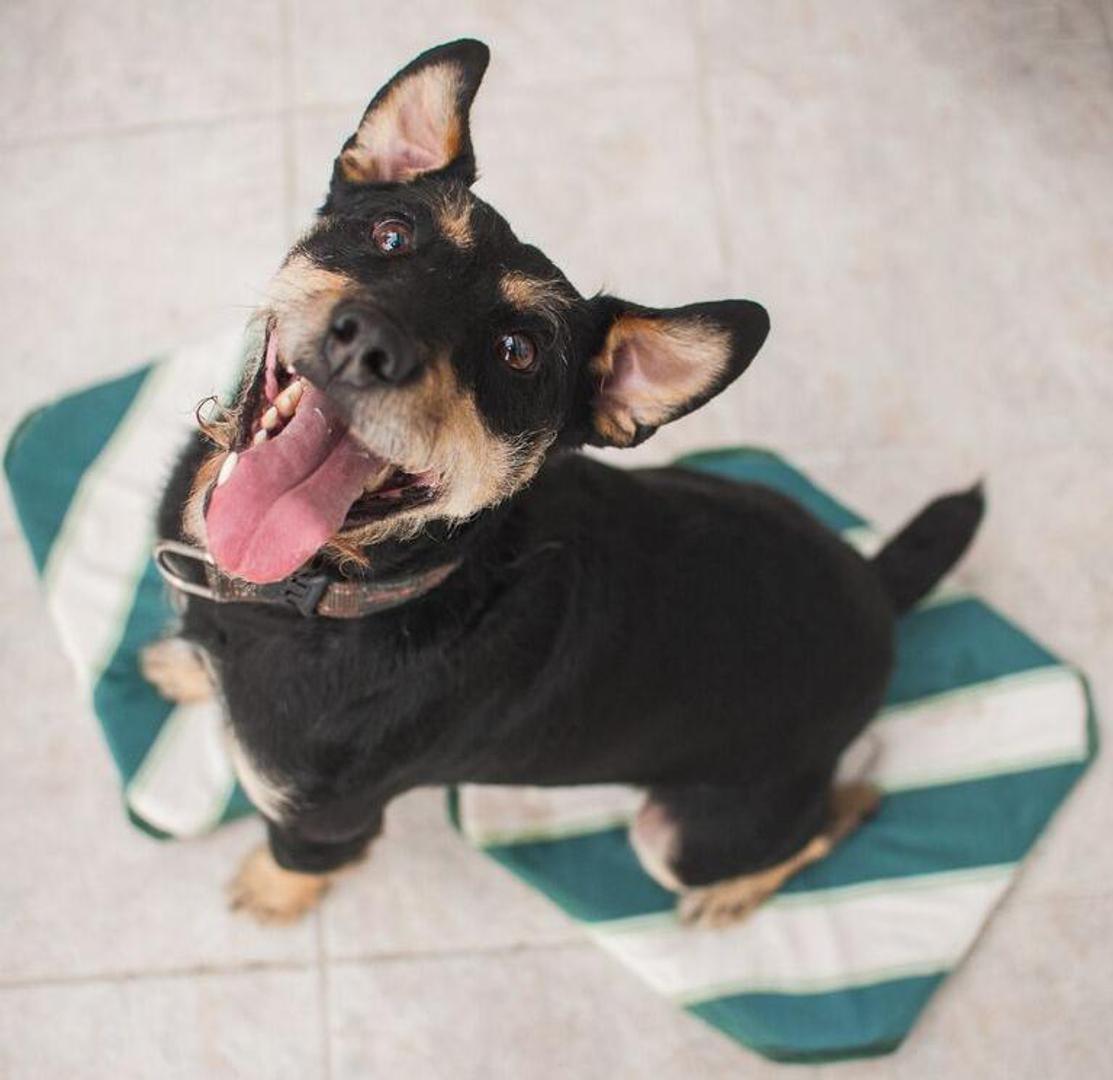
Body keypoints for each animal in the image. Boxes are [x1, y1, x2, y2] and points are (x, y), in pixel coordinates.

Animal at [142, 39, 984, 927]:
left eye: (519, 352)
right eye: (391, 234)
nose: (369, 342)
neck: (323, 596)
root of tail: (878, 591)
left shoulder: (324, 821)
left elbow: (293, 864)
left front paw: (271, 895)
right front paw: (186, 667)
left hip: (682, 837)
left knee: (842, 812)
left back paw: (733, 894)